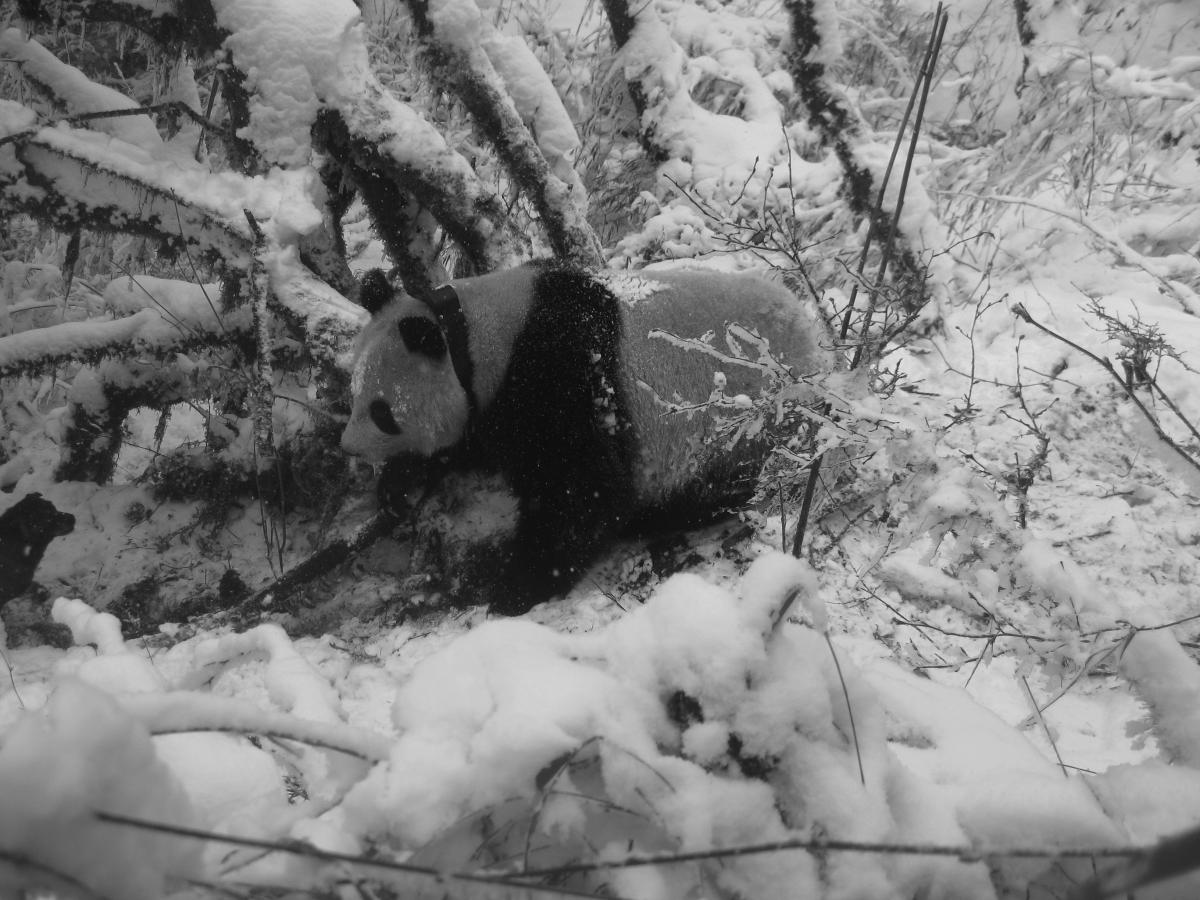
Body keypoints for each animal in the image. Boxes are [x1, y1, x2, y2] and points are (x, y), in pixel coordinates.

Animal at [340, 260, 835, 614]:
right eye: (355, 393)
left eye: (382, 412)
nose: (349, 447)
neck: (476, 336)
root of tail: (812, 338)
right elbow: (469, 444)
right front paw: (398, 485)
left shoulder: (561, 373)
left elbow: (582, 488)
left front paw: (518, 585)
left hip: (747, 421)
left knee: (721, 482)